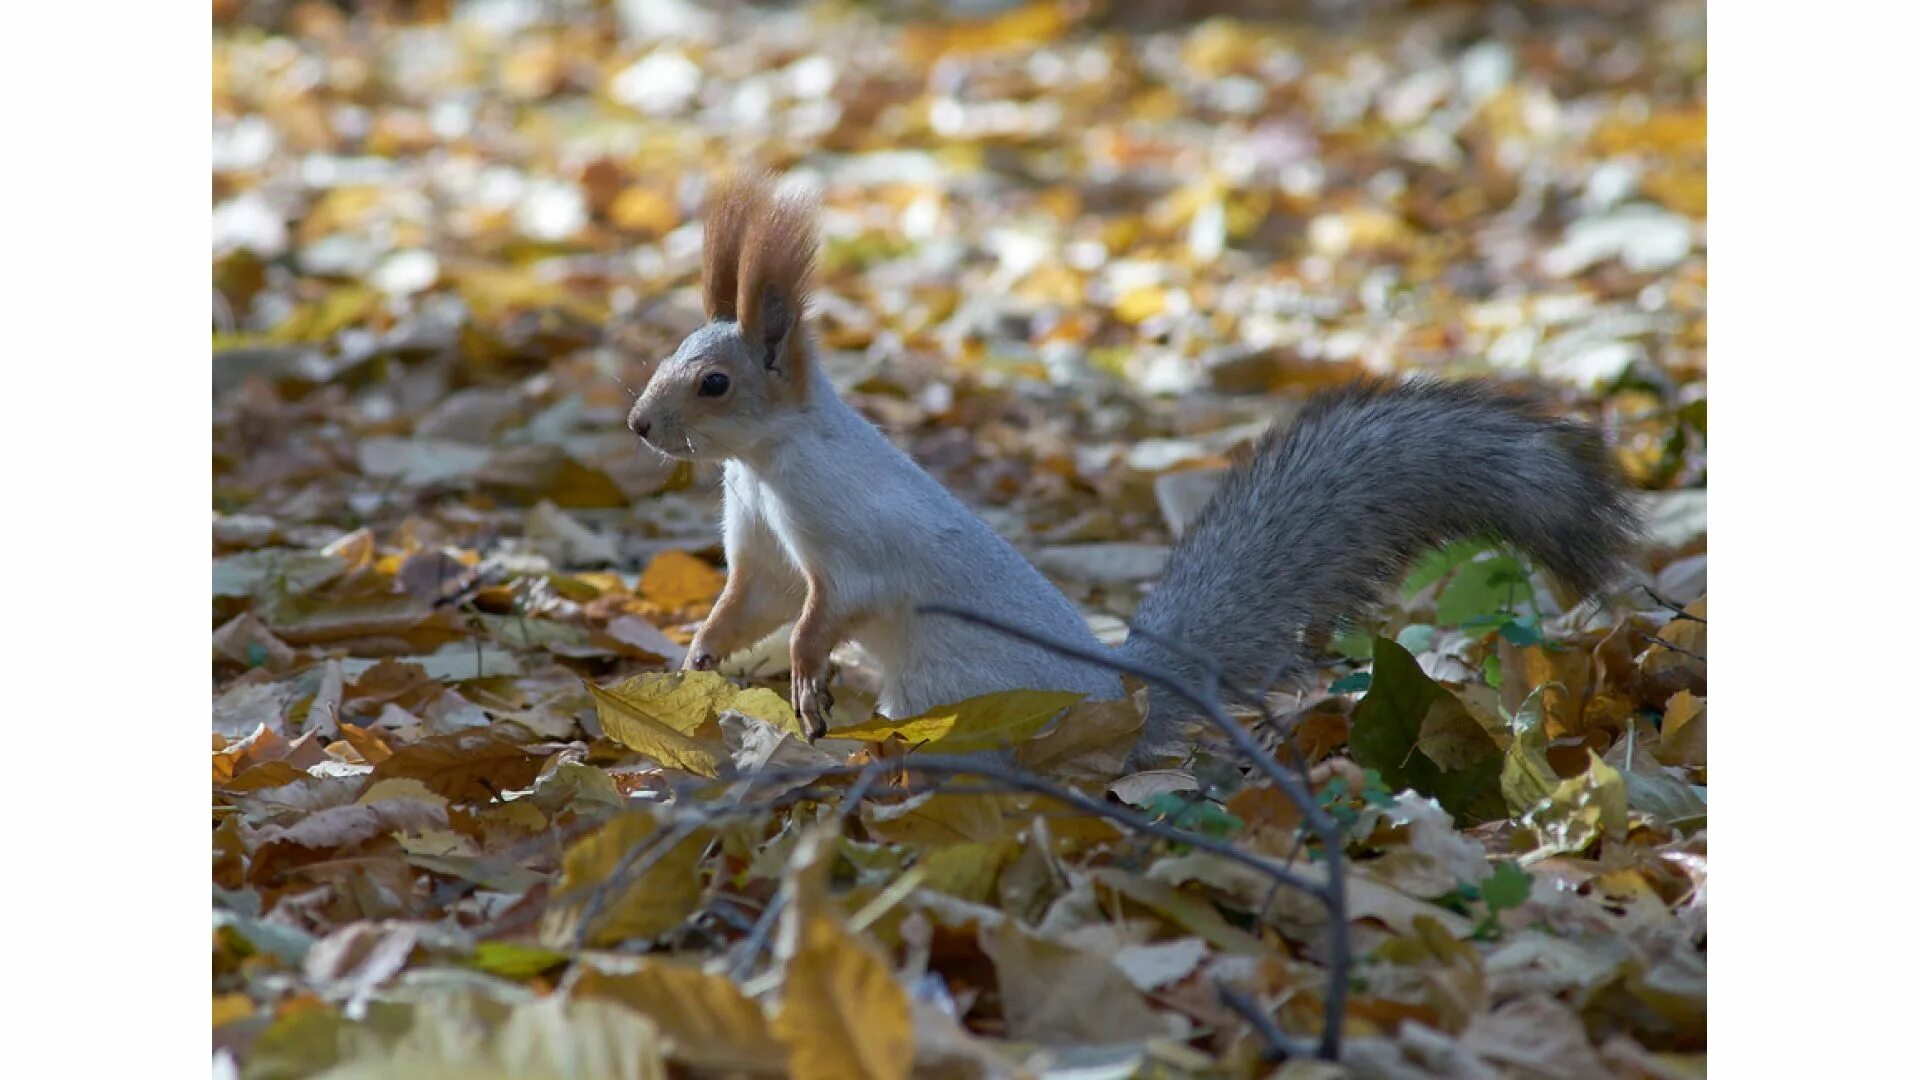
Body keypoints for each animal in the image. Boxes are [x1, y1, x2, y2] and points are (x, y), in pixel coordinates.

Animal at [625, 176, 1635, 760]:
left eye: (714, 382)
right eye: (672, 352)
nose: (638, 425)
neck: (765, 461)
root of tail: (1118, 706)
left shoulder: (851, 534)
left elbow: (830, 608)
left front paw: (803, 671)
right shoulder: (760, 539)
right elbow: (752, 597)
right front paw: (701, 651)